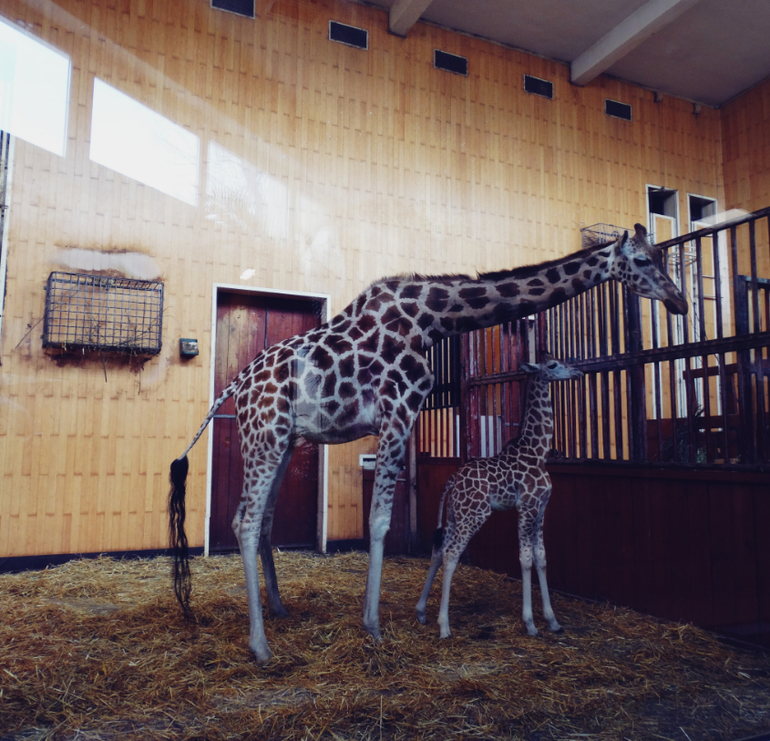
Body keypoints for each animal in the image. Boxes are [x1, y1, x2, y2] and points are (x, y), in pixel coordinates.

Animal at [415, 354, 582, 639]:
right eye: (552, 365)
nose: (577, 371)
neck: (538, 452)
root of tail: (452, 480)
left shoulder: (541, 509)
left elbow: (542, 557)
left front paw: (553, 621)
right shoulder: (526, 507)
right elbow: (525, 559)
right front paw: (530, 623)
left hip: (455, 515)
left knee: (438, 551)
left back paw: (422, 613)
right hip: (474, 515)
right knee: (451, 554)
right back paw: (444, 626)